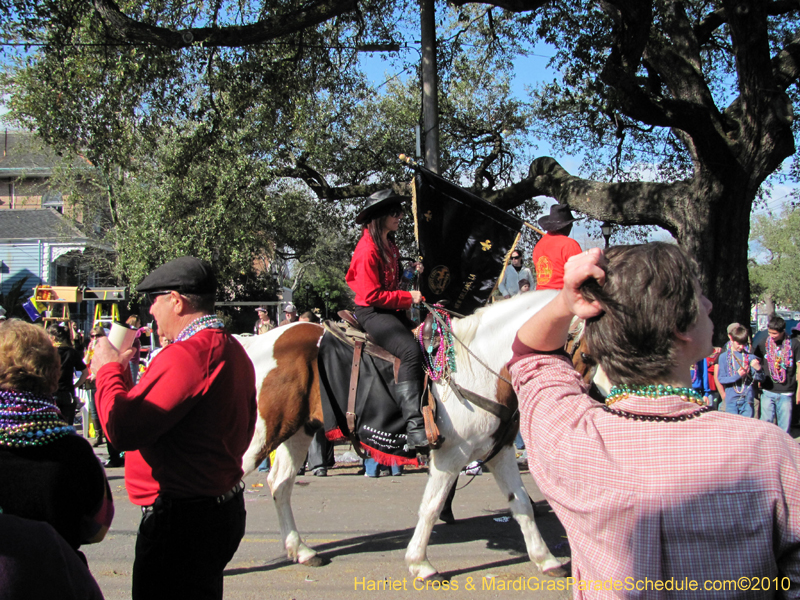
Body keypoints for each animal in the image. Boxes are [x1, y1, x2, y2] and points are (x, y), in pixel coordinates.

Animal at [238, 290, 568, 580]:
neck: (479, 368)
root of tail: (252, 345)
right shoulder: (451, 455)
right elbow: (432, 506)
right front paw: (420, 564)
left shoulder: (500, 451)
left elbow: (521, 503)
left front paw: (546, 559)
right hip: (260, 436)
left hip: (298, 430)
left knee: (280, 483)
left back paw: (301, 550)